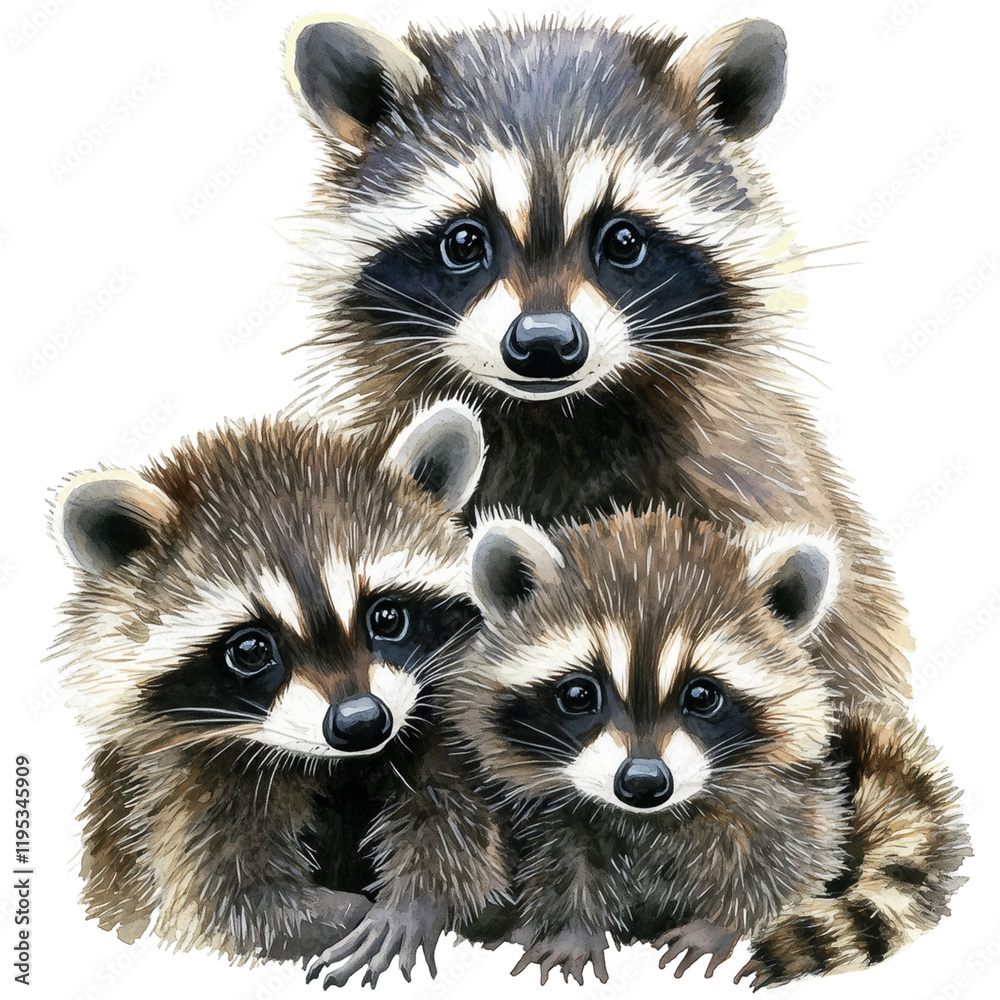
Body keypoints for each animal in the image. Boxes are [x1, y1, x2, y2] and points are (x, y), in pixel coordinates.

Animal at [51, 403, 510, 984]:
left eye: (387, 617)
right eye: (250, 649)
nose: (362, 722)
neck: (335, 764)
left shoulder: (439, 718)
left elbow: (453, 821)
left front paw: (412, 901)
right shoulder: (169, 781)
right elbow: (219, 901)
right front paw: (335, 915)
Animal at [455, 509, 969, 985]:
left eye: (702, 695)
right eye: (579, 694)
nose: (643, 783)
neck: (648, 819)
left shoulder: (790, 796)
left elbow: (794, 857)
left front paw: (721, 924)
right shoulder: (543, 811)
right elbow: (560, 863)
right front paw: (570, 929)